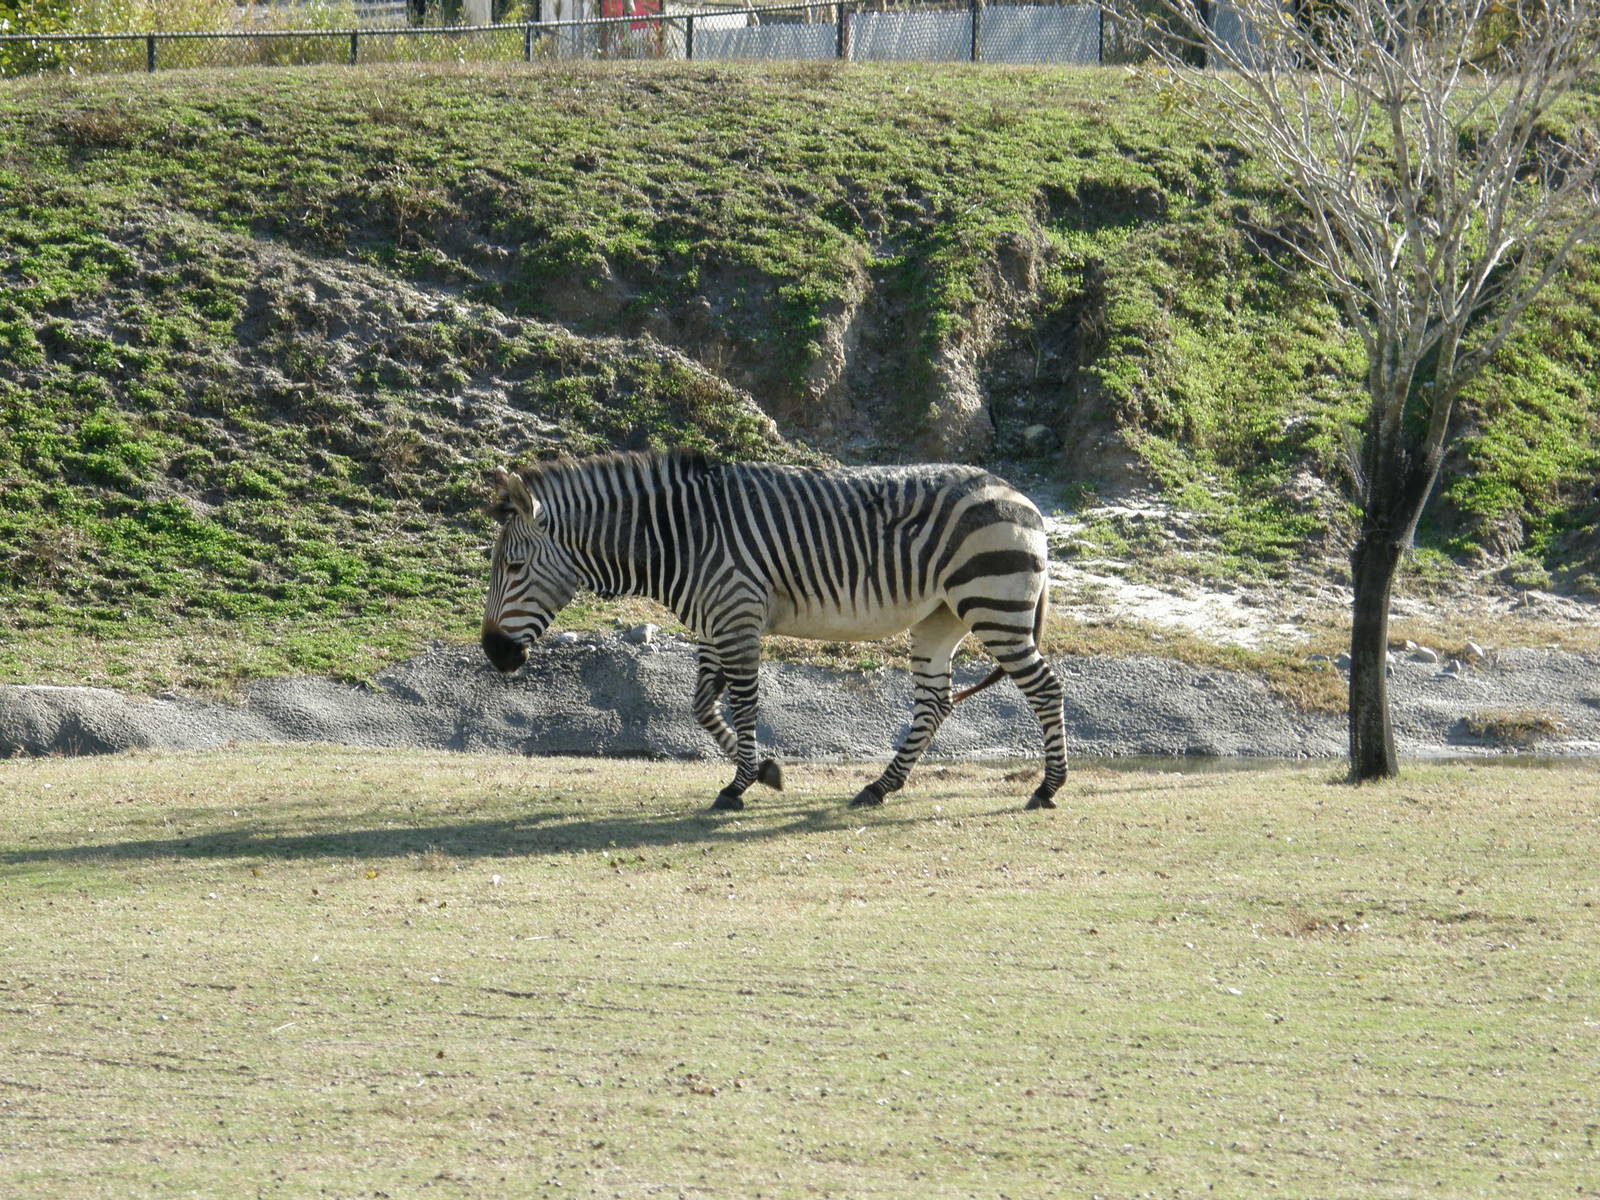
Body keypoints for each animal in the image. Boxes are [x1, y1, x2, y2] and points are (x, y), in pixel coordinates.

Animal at [481, 450, 1066, 812]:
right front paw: (765, 769)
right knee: (934, 702)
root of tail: (1020, 494)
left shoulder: (736, 613)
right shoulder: (714, 623)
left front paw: (739, 784)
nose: (493, 653)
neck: (680, 537)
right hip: (938, 618)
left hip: (991, 603)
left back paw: (1047, 788)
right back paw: (879, 787)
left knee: (1045, 689)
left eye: (512, 568)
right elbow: (702, 705)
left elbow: (743, 704)